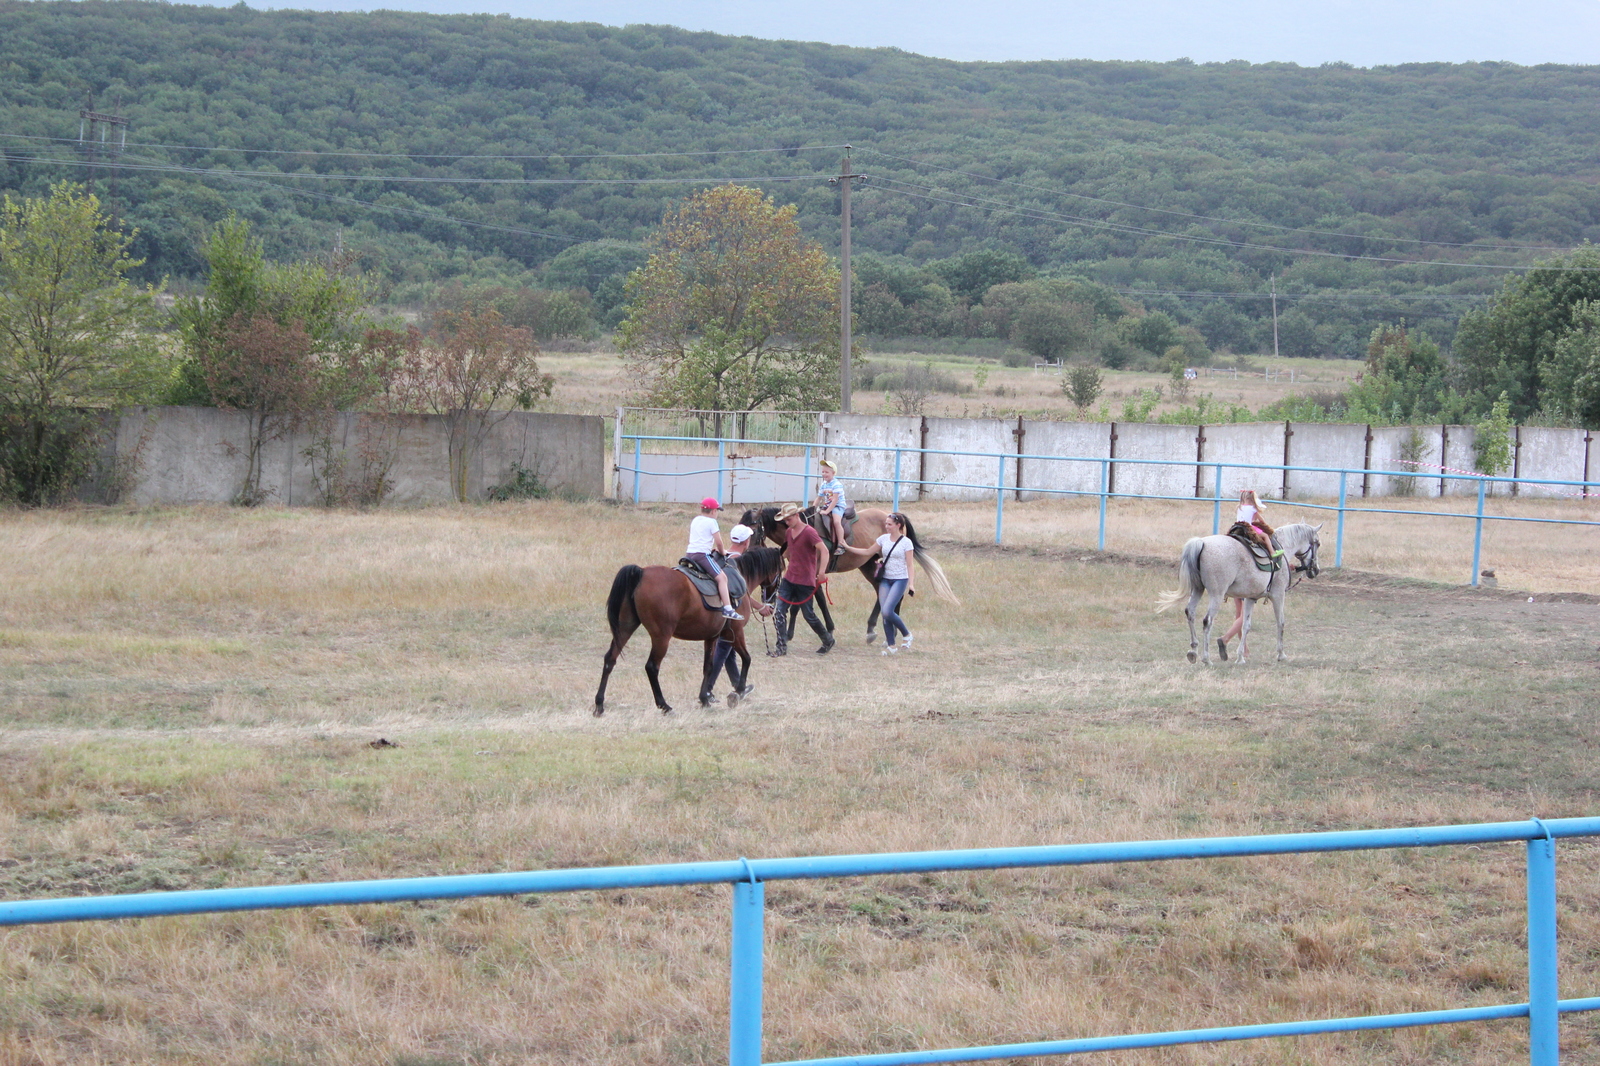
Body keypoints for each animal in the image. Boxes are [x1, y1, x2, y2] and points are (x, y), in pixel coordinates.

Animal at [595, 544, 787, 710]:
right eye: (781, 569)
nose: (771, 601)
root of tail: (642, 572)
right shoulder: (735, 633)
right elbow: (746, 659)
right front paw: (738, 692)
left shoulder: (712, 636)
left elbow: (709, 666)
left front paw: (704, 698)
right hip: (661, 636)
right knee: (651, 667)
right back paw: (664, 705)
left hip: (625, 627)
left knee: (610, 659)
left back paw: (599, 704)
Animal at [1158, 521, 1318, 665]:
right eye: (1317, 543)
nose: (1315, 570)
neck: (1282, 547)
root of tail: (1201, 543)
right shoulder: (1278, 595)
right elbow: (1281, 622)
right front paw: (1281, 654)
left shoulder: (1250, 598)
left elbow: (1245, 625)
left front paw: (1240, 657)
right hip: (1216, 595)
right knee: (1207, 621)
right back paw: (1206, 659)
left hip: (1198, 589)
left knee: (1190, 612)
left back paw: (1193, 652)